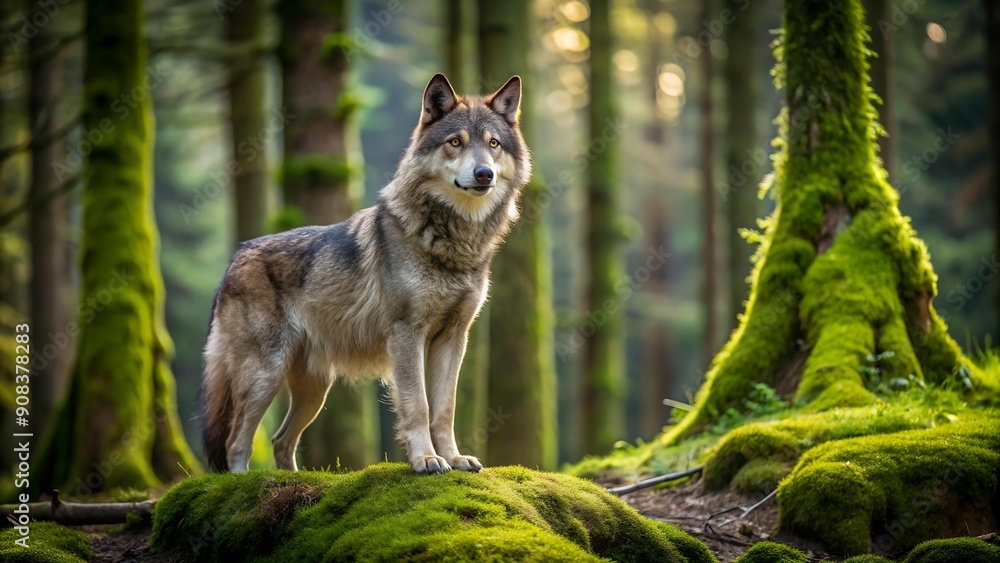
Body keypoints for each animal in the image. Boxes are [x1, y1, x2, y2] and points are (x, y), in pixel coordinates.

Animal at [200, 73, 529, 474]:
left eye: (493, 144)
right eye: (456, 142)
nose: (484, 173)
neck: (451, 241)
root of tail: (237, 255)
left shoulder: (453, 338)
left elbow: (445, 409)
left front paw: (453, 458)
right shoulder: (406, 335)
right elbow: (419, 406)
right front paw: (426, 459)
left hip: (314, 391)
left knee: (280, 441)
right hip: (266, 375)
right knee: (236, 443)